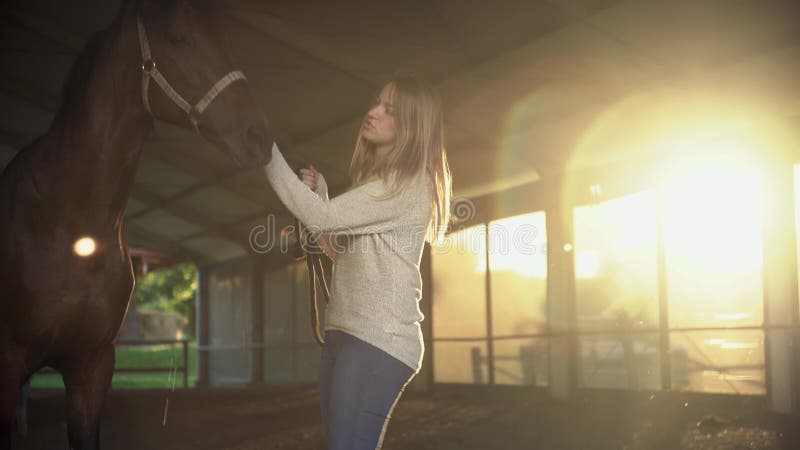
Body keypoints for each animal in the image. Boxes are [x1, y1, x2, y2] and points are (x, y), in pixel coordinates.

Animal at [0, 1, 274, 448]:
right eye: (178, 36)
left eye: (225, 37)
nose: (260, 137)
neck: (66, 227)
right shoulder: (9, 364)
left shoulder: (93, 365)